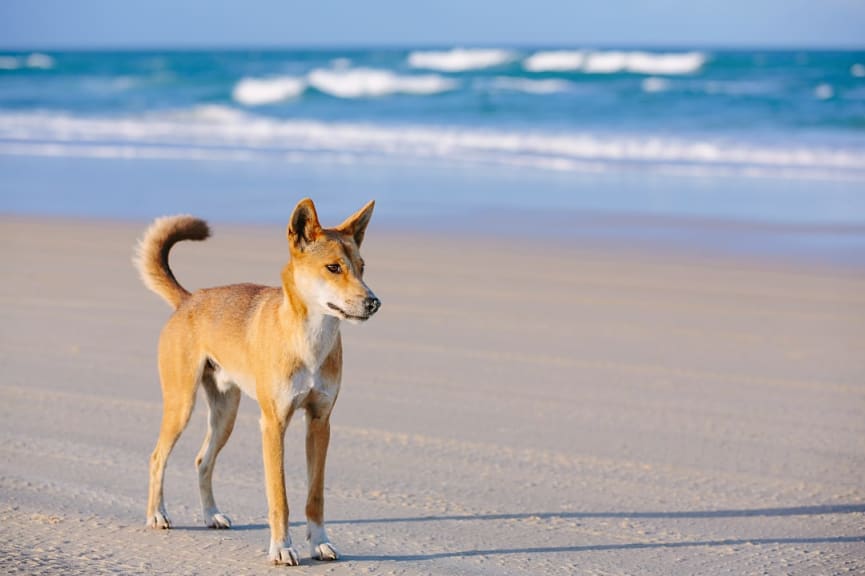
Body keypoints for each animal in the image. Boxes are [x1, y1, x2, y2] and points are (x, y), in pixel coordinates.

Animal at [134, 197, 378, 564]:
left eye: (362, 267)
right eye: (334, 268)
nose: (373, 302)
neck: (308, 341)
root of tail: (189, 298)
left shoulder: (320, 422)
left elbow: (315, 496)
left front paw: (319, 542)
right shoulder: (273, 424)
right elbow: (280, 498)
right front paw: (282, 547)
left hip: (225, 414)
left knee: (202, 461)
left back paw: (211, 515)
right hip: (181, 405)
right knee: (157, 457)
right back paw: (157, 514)